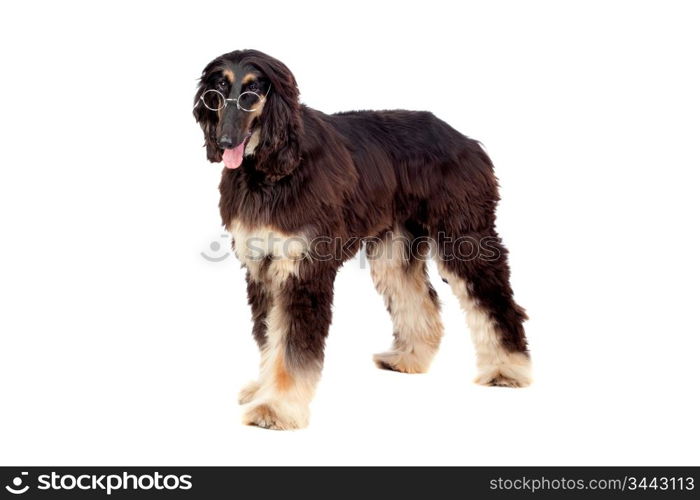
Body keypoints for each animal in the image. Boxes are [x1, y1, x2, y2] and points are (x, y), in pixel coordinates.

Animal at [191, 47, 532, 430]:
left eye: (252, 89)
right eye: (218, 89)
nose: (224, 142)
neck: (271, 169)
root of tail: (464, 139)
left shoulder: (302, 268)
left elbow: (291, 346)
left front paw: (277, 407)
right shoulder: (262, 265)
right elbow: (269, 337)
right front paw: (263, 389)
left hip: (463, 234)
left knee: (495, 300)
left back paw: (508, 369)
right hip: (395, 242)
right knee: (418, 298)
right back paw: (409, 358)